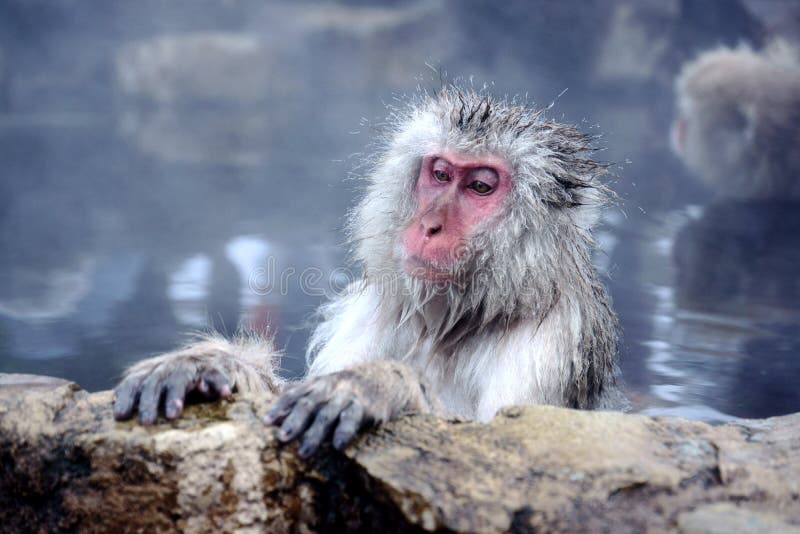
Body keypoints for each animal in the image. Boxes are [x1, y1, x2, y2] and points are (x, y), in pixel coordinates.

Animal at [114, 86, 623, 457]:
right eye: (440, 174)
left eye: (480, 186)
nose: (429, 225)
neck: (460, 318)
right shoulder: (374, 309)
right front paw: (207, 363)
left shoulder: (556, 339)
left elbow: (508, 444)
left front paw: (374, 385)